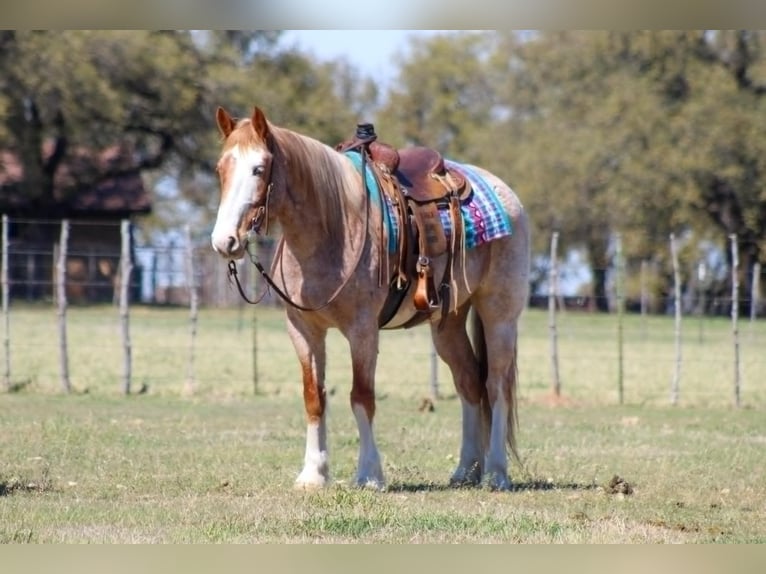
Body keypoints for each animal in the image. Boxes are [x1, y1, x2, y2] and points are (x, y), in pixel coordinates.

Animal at [210, 106, 530, 491]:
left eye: (259, 169)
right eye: (221, 169)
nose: (224, 241)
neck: (334, 228)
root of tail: (505, 191)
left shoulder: (362, 330)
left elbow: (361, 397)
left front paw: (369, 474)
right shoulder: (303, 329)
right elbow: (313, 397)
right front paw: (313, 474)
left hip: (499, 314)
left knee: (496, 385)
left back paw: (496, 473)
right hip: (449, 322)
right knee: (469, 382)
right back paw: (466, 471)